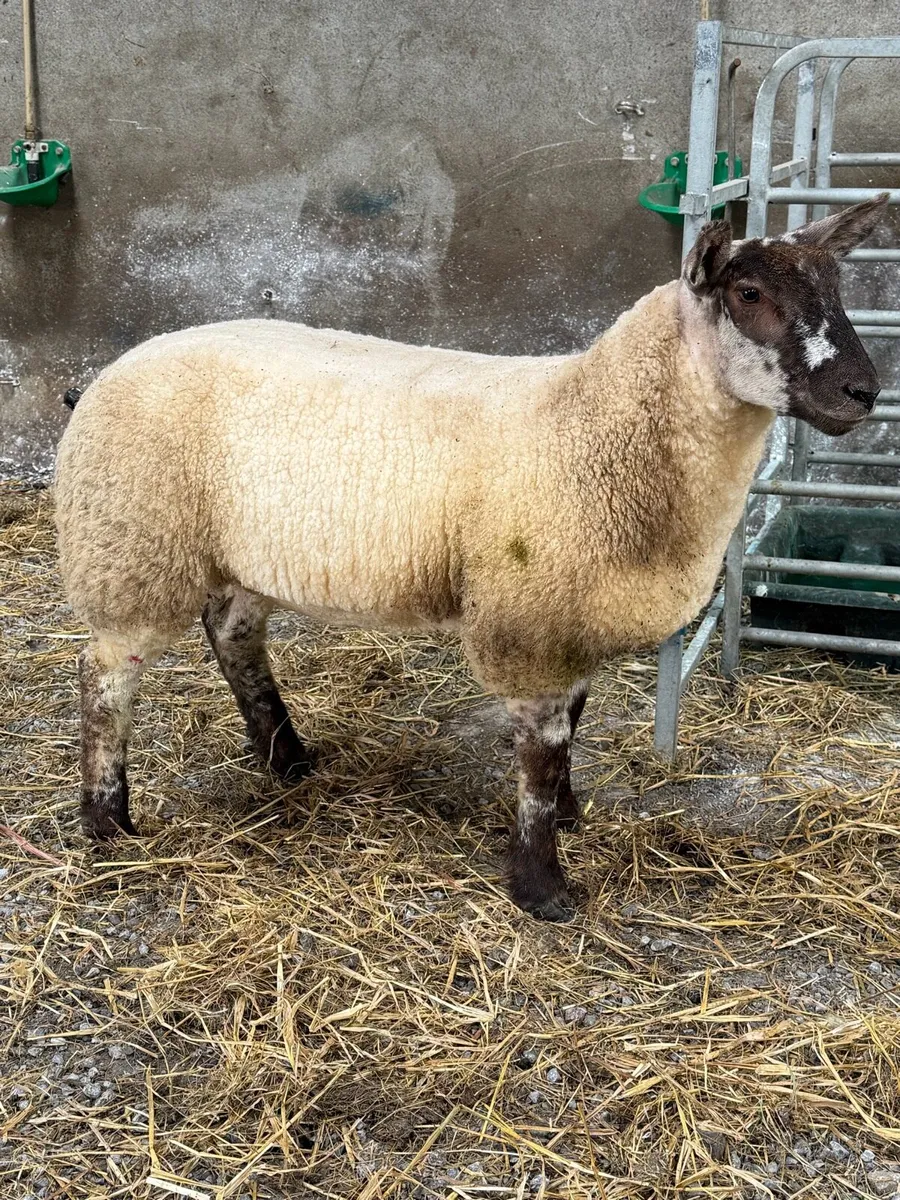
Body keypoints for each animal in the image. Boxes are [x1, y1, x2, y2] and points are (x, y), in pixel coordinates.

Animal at [55, 195, 887, 922]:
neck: (592, 421)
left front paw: (570, 815)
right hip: (131, 546)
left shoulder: (566, 613)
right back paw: (108, 822)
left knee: (232, 636)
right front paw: (542, 885)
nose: (864, 390)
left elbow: (572, 727)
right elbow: (540, 757)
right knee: (106, 677)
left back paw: (286, 758)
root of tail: (112, 367)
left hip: (241, 550)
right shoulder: (528, 614)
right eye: (748, 291)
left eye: (837, 287)